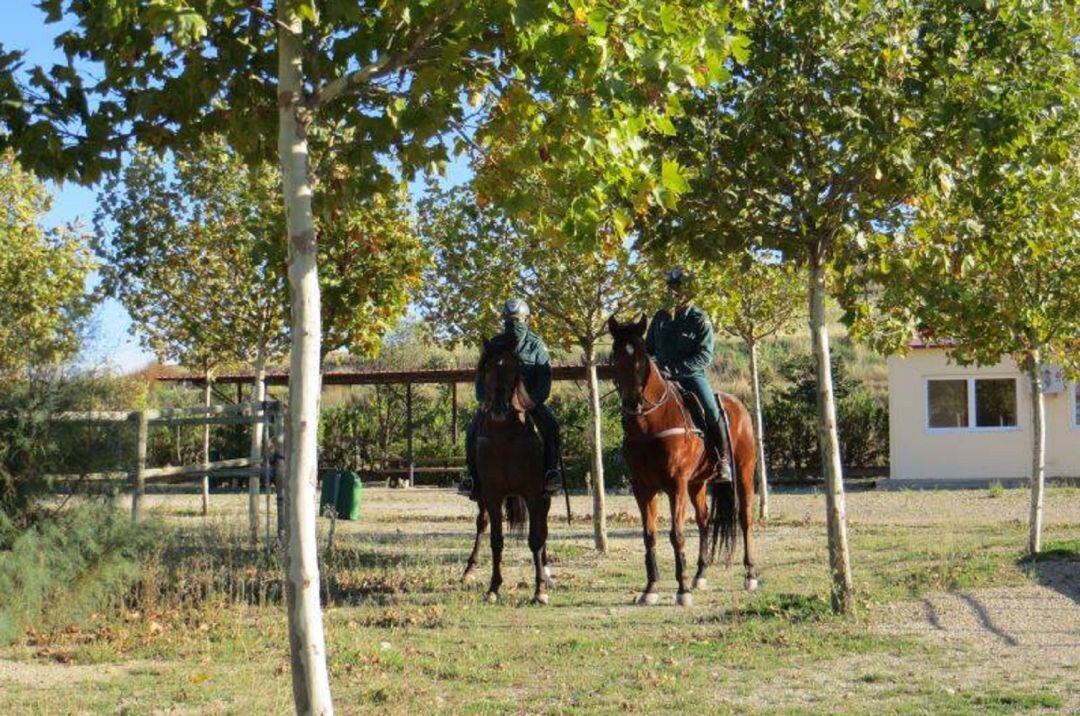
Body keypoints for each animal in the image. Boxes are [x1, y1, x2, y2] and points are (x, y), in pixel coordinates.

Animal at [460, 341, 552, 604]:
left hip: (544, 497)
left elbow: (535, 539)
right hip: (482, 498)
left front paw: (540, 590)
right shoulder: (492, 494)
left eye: (515, 369)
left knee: (543, 530)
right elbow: (496, 540)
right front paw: (493, 588)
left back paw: (546, 571)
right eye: (487, 367)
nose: (499, 407)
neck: (506, 437)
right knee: (482, 524)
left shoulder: (534, 494)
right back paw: (469, 570)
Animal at [609, 315, 760, 604]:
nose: (632, 403)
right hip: (697, 484)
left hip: (743, 474)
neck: (650, 425)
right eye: (614, 356)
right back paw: (700, 574)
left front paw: (682, 591)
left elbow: (676, 534)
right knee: (704, 521)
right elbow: (649, 535)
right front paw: (651, 588)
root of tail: (739, 406)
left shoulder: (675, 485)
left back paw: (750, 574)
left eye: (642, 356)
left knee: (745, 518)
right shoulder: (642, 488)